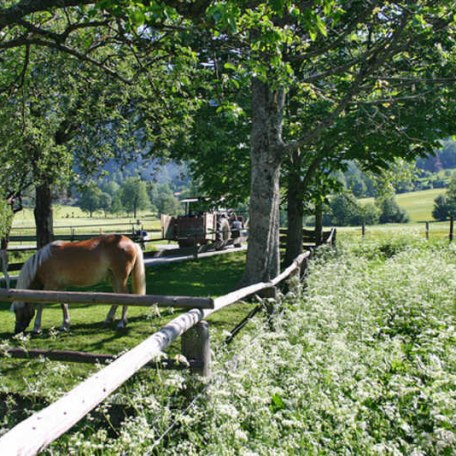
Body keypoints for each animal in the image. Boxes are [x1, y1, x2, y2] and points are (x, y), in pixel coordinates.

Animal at [11, 235, 146, 334]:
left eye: (18, 311)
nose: (16, 330)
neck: (42, 262)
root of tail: (131, 242)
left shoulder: (50, 287)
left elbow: (41, 305)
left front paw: (37, 327)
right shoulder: (61, 287)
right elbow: (64, 305)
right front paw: (65, 325)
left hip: (120, 278)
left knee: (124, 296)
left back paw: (122, 322)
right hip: (114, 278)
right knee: (117, 296)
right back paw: (109, 319)